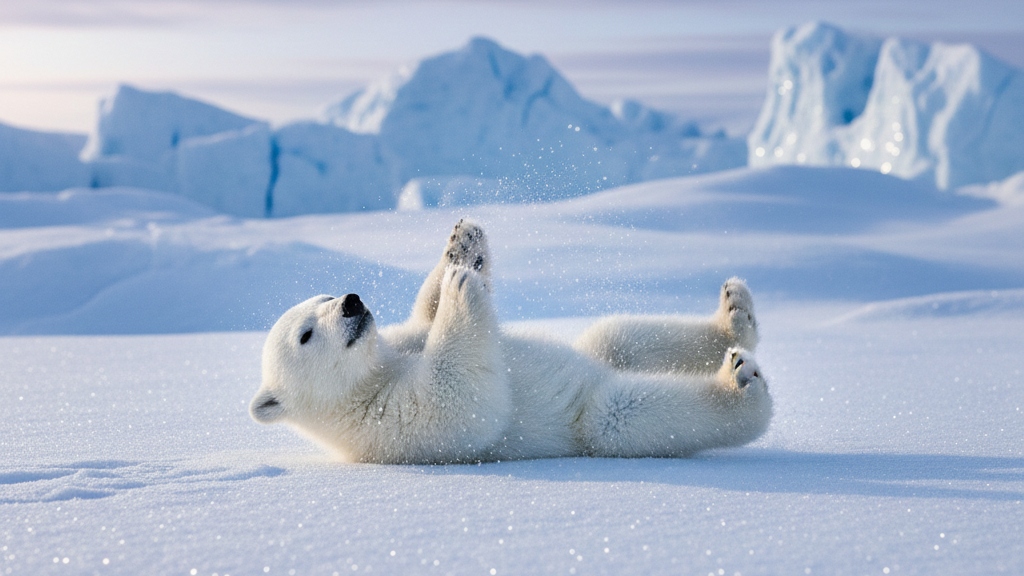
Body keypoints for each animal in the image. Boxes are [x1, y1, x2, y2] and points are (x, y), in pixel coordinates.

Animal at [249, 220, 773, 464]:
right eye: (305, 334)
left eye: (325, 294)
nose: (352, 302)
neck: (372, 377)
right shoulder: (387, 424)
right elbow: (462, 403)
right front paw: (462, 287)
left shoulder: (398, 341)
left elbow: (423, 319)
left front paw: (462, 249)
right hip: (589, 420)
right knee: (621, 413)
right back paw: (741, 380)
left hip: (603, 349)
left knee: (617, 335)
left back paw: (735, 314)